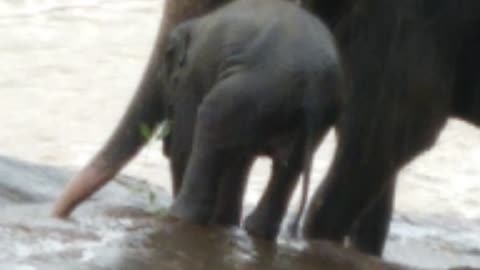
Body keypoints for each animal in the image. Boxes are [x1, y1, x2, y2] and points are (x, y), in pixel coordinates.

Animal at [166, 0, 344, 238]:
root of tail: (312, 91)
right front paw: (224, 221)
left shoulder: (191, 76)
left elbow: (184, 141)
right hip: (307, 114)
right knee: (289, 165)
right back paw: (255, 229)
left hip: (251, 92)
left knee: (209, 120)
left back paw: (180, 216)